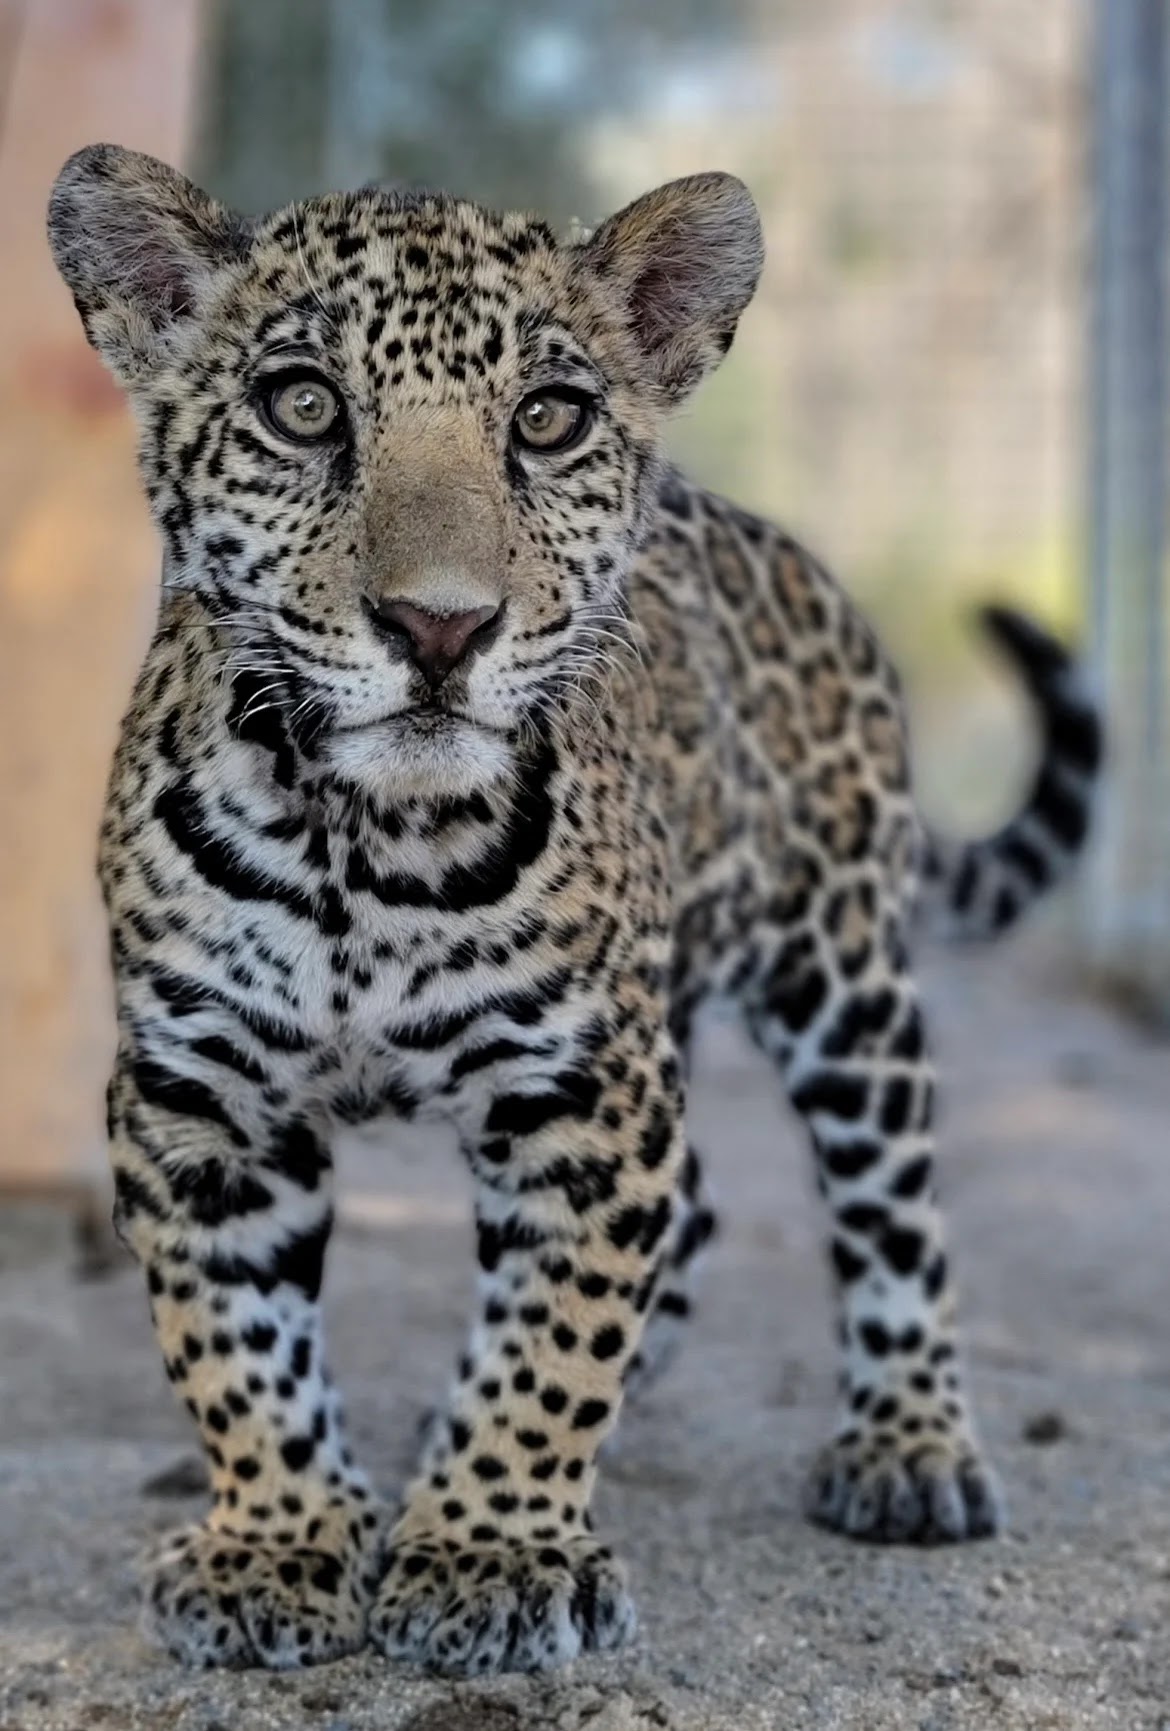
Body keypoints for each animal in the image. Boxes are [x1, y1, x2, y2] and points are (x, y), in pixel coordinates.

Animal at [47, 143, 1102, 1677]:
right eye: (302, 407)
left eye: (547, 420)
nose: (438, 627)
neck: (366, 847)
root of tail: (783, 549)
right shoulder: (199, 1094)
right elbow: (233, 1341)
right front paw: (281, 1539)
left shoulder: (588, 1087)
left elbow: (556, 1335)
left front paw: (488, 1552)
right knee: (701, 1210)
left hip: (845, 980)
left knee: (891, 1210)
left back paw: (908, 1447)